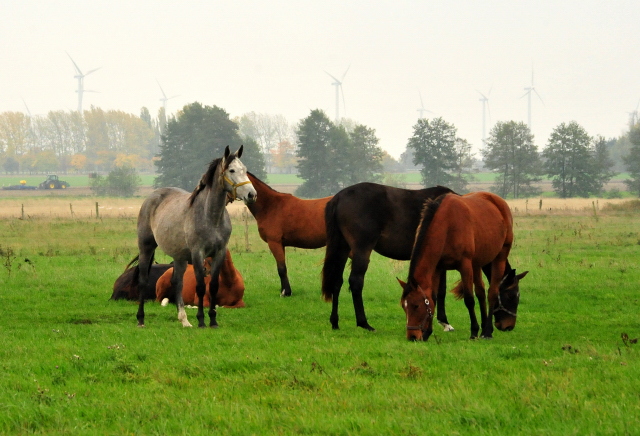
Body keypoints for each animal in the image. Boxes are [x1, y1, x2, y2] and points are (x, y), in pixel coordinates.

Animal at [135, 146, 255, 328]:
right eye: (232, 170)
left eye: (245, 169)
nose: (251, 194)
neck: (210, 217)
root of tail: (152, 197)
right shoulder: (198, 254)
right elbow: (200, 287)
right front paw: (201, 320)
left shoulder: (219, 253)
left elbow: (213, 286)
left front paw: (213, 320)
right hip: (146, 247)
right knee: (143, 279)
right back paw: (141, 319)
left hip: (179, 257)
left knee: (177, 282)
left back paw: (184, 320)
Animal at [320, 183, 516, 330]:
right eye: (512, 294)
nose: (506, 326)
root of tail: (338, 197)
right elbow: (441, 290)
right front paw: (444, 322)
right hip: (362, 249)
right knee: (356, 281)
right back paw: (364, 323)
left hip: (343, 248)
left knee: (337, 281)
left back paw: (335, 321)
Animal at [400, 193, 528, 340]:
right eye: (403, 306)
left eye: (416, 306)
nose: (412, 336)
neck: (447, 224)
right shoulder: (438, 268)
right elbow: (433, 298)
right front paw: (427, 333)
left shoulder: (465, 266)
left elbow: (469, 299)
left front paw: (474, 331)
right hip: (477, 263)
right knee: (481, 291)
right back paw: (484, 328)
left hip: (499, 257)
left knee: (492, 293)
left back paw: (487, 331)